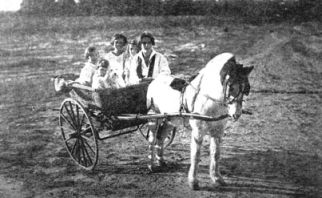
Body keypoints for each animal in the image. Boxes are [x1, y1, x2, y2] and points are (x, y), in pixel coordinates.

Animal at [146, 52, 254, 190]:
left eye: (246, 88)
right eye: (231, 87)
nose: (236, 114)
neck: (210, 100)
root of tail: (154, 80)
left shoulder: (218, 131)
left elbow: (216, 154)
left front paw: (217, 178)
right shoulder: (198, 131)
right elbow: (196, 155)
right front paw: (193, 182)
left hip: (170, 120)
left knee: (161, 137)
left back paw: (161, 161)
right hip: (154, 118)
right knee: (152, 140)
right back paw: (151, 165)